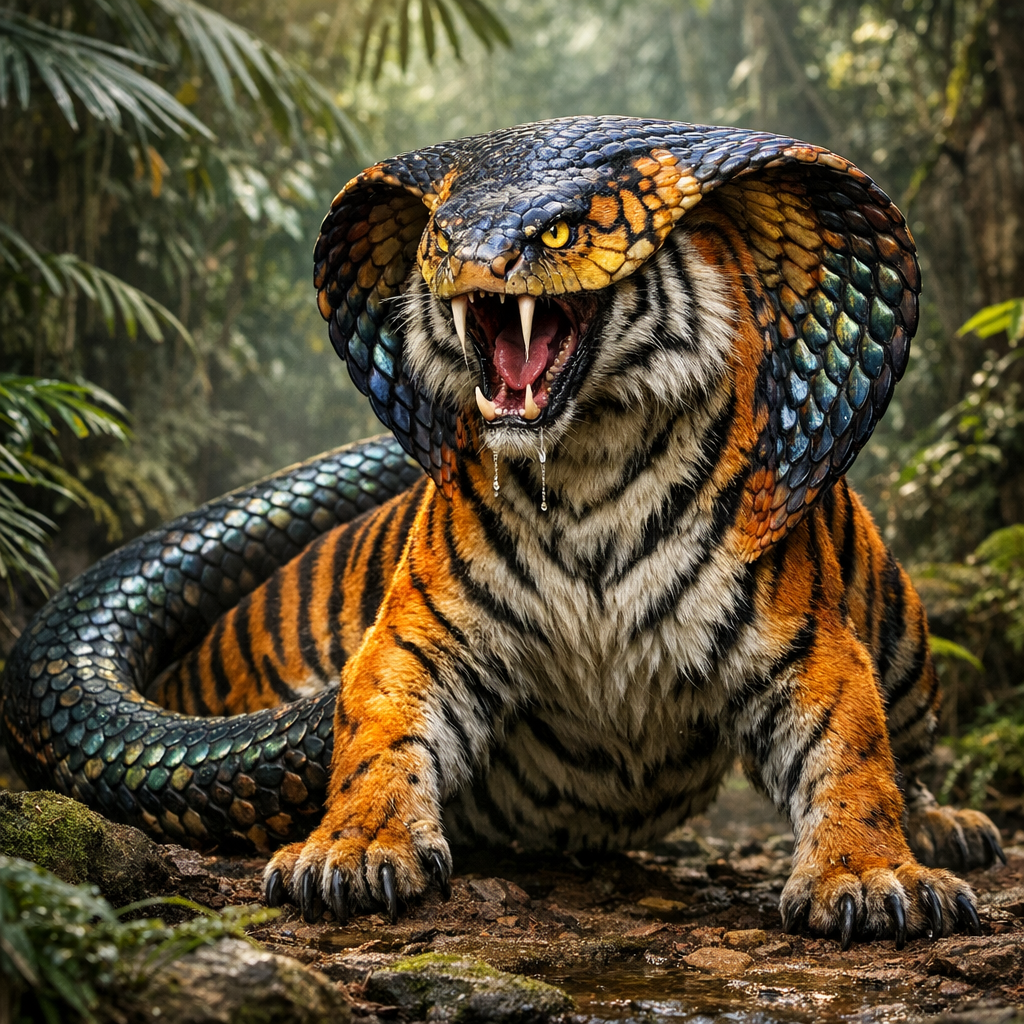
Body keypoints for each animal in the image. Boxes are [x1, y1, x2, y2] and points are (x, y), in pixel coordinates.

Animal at [145, 117, 1003, 947]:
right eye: (440, 237)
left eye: (557, 231)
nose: (469, 263)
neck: (589, 458)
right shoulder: (421, 635)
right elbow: (375, 739)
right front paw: (351, 851)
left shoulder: (806, 643)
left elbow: (854, 758)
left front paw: (870, 876)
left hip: (904, 639)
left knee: (912, 748)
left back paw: (955, 829)